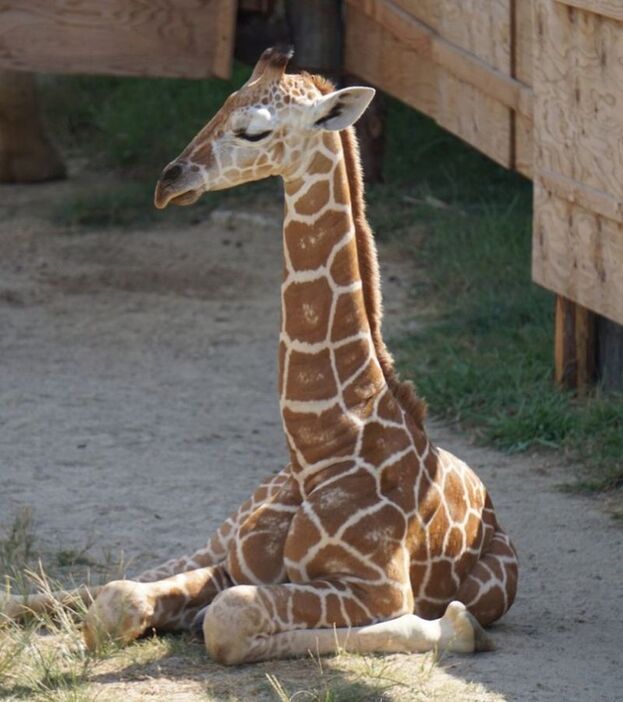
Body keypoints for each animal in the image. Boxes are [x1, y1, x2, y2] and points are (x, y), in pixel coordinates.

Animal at [2, 51, 520, 664]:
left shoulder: (379, 589)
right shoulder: (233, 562)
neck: (320, 445)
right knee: (100, 583)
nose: (169, 181)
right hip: (217, 535)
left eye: (255, 131)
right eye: (219, 106)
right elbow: (119, 598)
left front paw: (460, 627)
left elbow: (226, 619)